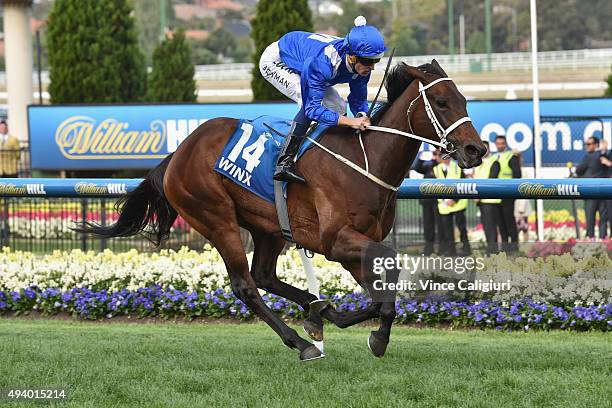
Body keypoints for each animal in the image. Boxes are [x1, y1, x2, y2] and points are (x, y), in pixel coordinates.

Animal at [77, 59, 488, 360]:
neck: (365, 161)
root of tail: (177, 153)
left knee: (264, 275)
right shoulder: (336, 240)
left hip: (268, 225)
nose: (476, 150)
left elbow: (380, 293)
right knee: (246, 286)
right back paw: (302, 343)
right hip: (216, 218)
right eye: (442, 103)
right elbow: (386, 279)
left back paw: (317, 311)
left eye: (464, 99)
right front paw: (370, 335)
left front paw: (350, 322)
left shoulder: (355, 243)